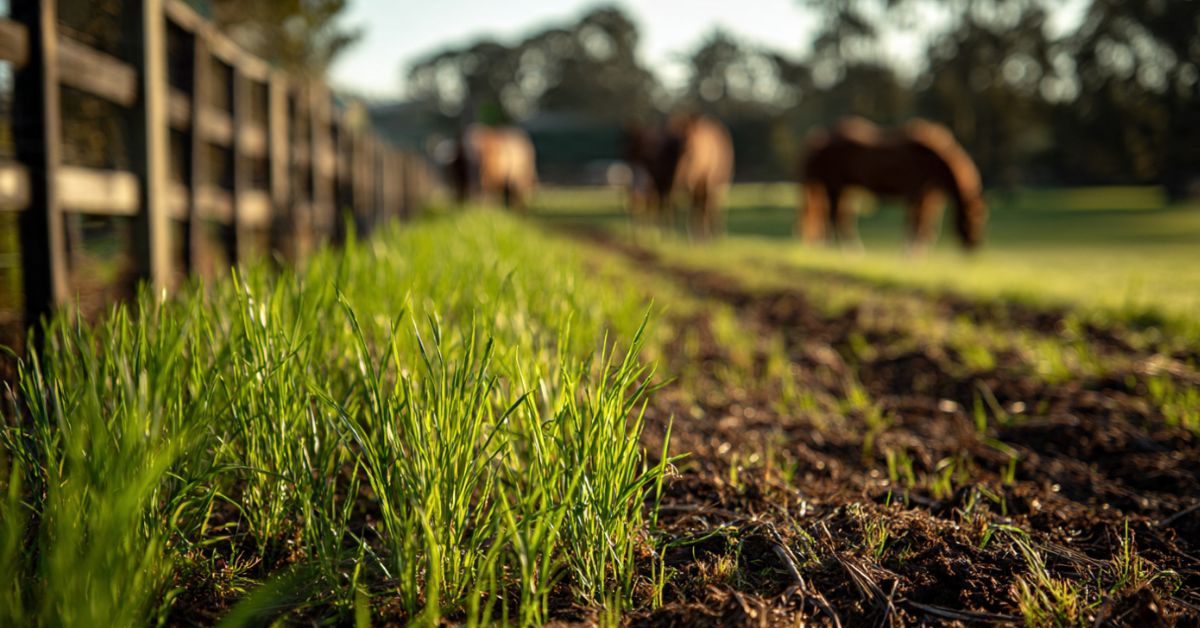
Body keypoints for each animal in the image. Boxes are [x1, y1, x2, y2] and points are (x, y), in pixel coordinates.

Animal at [798, 117, 987, 252]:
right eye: (975, 218)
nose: (973, 246)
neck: (932, 160)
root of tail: (819, 139)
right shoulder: (915, 193)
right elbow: (915, 221)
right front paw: (909, 251)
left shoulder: (929, 195)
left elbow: (926, 224)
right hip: (835, 185)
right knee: (835, 215)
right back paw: (846, 248)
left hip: (844, 188)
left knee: (833, 214)